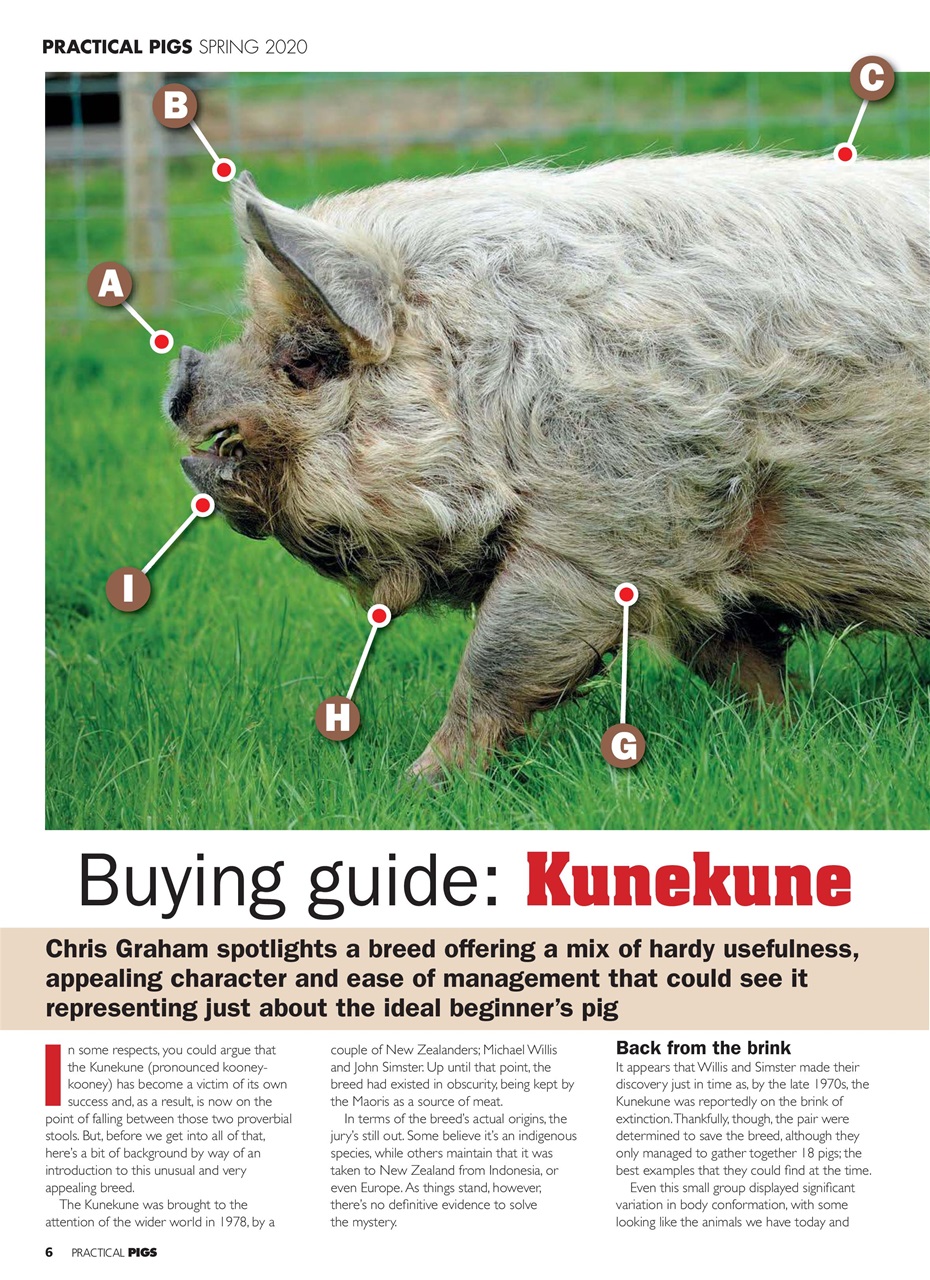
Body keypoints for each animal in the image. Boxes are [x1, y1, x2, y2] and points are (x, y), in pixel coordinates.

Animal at [166, 155, 929, 781]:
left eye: (306, 361)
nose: (180, 381)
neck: (494, 388)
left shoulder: (604, 529)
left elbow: (497, 662)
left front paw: (417, 784)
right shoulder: (695, 556)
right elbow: (739, 662)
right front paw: (790, 733)